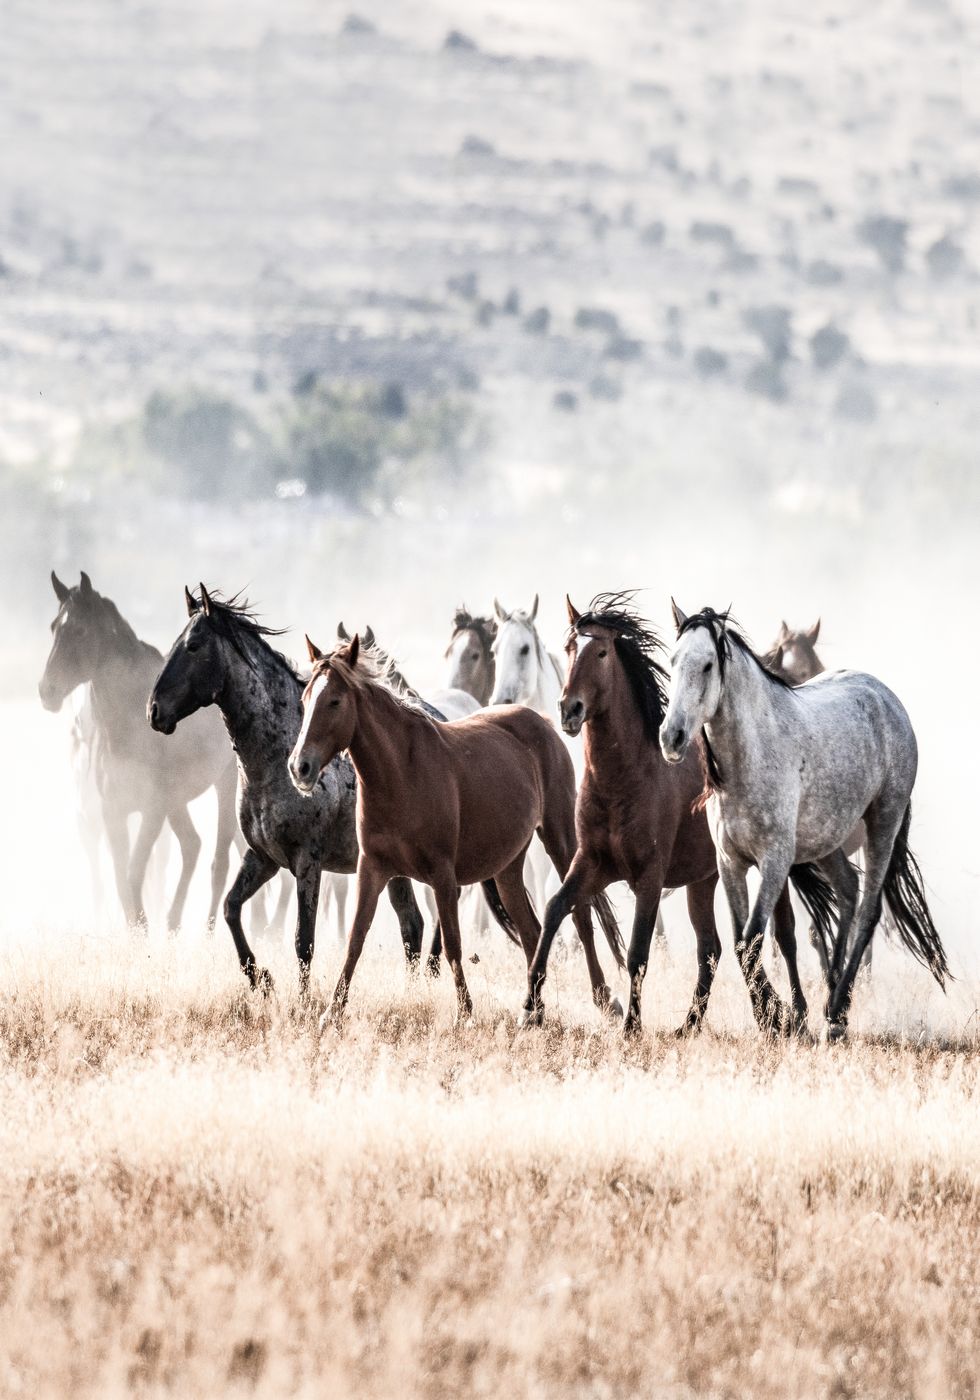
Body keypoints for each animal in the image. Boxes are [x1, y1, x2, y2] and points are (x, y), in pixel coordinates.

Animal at [38, 574, 239, 935]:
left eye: (81, 631)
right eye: (53, 627)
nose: (47, 691)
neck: (126, 723)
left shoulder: (152, 810)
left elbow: (134, 874)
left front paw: (143, 931)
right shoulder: (113, 812)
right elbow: (122, 880)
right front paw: (138, 934)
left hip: (224, 783)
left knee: (219, 860)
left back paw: (207, 931)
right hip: (177, 801)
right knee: (192, 845)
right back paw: (172, 923)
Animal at [147, 588, 422, 996]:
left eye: (194, 646)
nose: (154, 711)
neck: (278, 759)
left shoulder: (307, 861)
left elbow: (302, 941)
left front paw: (302, 1001)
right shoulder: (263, 857)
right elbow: (231, 909)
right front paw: (260, 978)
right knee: (412, 925)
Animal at [288, 632, 618, 1019]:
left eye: (335, 701)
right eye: (305, 699)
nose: (299, 767)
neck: (401, 773)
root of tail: (542, 723)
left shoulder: (443, 875)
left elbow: (452, 944)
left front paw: (465, 1012)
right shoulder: (372, 868)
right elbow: (356, 938)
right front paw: (332, 1011)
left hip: (559, 838)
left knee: (581, 916)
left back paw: (604, 998)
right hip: (508, 869)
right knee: (532, 931)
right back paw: (534, 1009)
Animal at [523, 590, 828, 1041]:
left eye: (601, 652)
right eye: (568, 648)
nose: (569, 710)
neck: (627, 777)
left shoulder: (649, 878)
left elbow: (638, 952)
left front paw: (631, 1026)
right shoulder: (591, 864)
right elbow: (554, 911)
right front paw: (530, 1006)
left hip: (769, 869)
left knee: (783, 936)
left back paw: (797, 1018)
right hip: (703, 881)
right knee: (712, 948)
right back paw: (692, 1024)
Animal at [658, 602, 952, 1041]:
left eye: (708, 665)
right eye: (673, 661)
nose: (671, 737)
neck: (753, 754)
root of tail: (887, 699)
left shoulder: (775, 862)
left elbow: (754, 938)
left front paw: (778, 1018)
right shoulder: (730, 863)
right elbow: (743, 941)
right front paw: (777, 1017)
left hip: (883, 822)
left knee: (868, 910)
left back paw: (838, 1013)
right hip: (829, 842)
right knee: (847, 893)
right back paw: (831, 997)